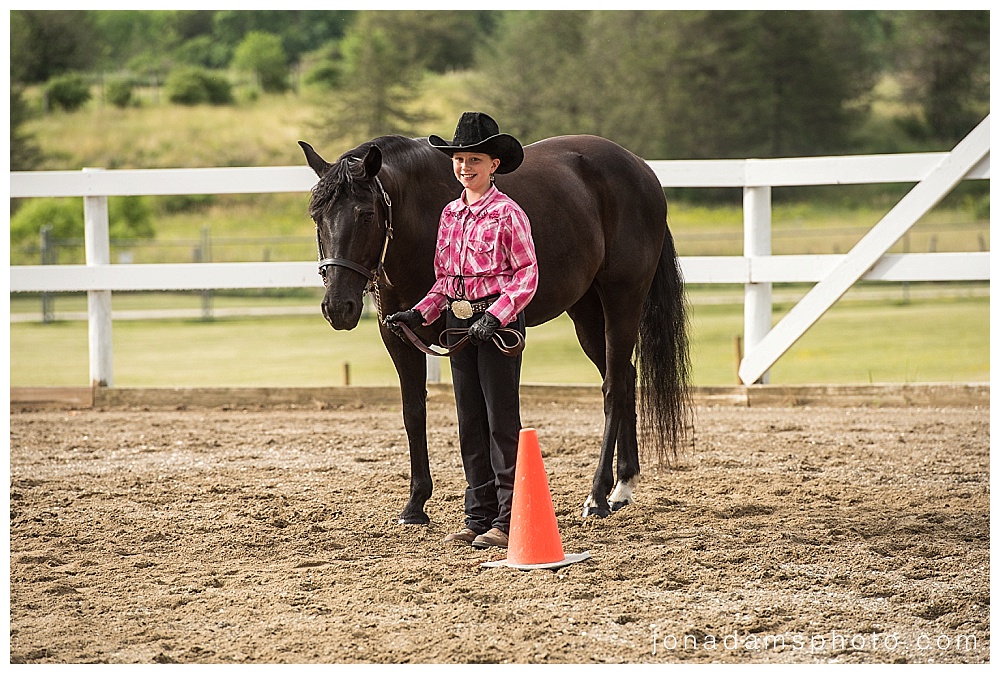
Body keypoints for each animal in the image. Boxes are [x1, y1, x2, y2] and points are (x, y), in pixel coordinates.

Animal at [299, 133, 690, 523]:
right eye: (316, 216)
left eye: (366, 215)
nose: (338, 307)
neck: (419, 217)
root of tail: (641, 170)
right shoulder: (399, 337)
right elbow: (414, 411)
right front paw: (415, 504)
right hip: (587, 313)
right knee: (624, 378)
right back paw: (624, 484)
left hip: (622, 301)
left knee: (613, 388)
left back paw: (598, 495)